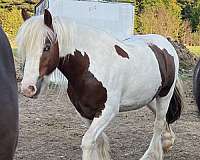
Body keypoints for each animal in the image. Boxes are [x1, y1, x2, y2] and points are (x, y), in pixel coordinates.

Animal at [17, 9, 184, 159]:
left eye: (47, 47)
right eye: (25, 48)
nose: (27, 88)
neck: (90, 67)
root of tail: (165, 45)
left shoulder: (108, 110)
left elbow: (88, 141)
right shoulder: (84, 111)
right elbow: (98, 141)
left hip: (164, 95)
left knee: (158, 123)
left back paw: (151, 154)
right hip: (149, 98)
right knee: (163, 119)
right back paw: (167, 143)